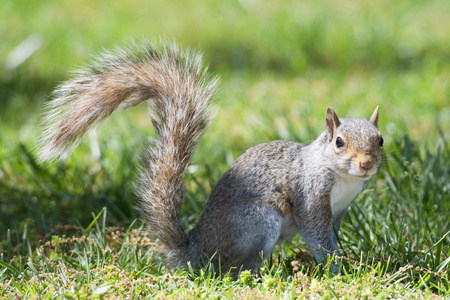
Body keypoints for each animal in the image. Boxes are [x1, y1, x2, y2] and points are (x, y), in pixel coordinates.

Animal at [38, 39, 384, 274]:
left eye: (380, 140)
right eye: (339, 142)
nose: (367, 164)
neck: (342, 177)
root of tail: (197, 252)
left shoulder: (339, 211)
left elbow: (332, 235)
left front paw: (349, 259)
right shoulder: (311, 196)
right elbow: (317, 235)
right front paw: (337, 270)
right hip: (258, 222)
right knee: (234, 270)